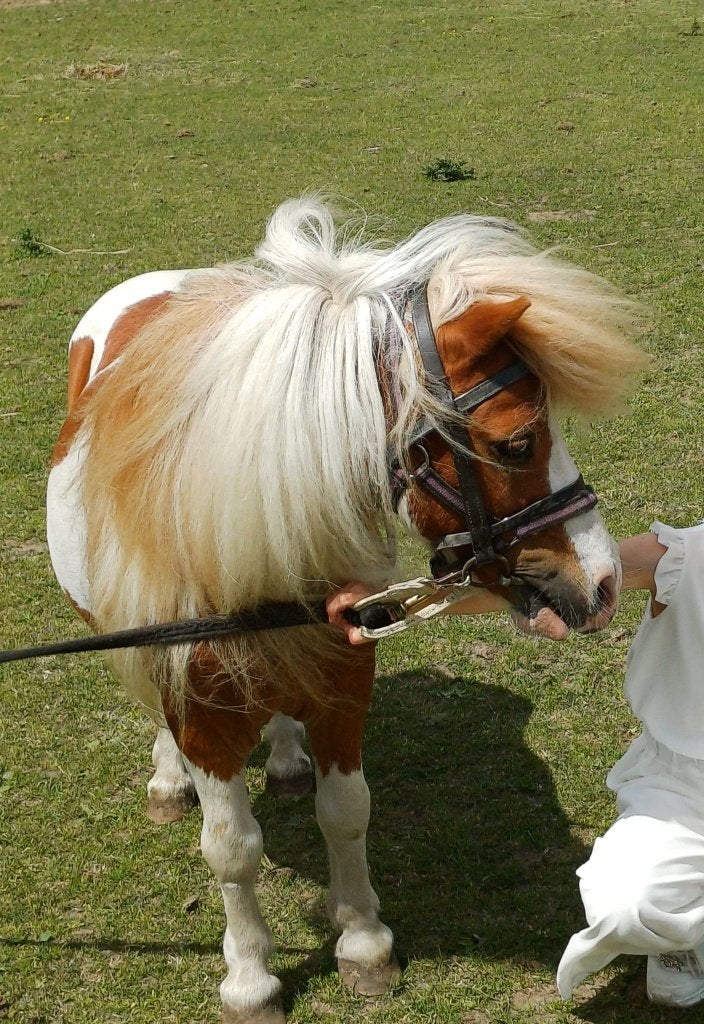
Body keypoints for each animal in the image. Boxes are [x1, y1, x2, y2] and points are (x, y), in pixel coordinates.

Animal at [46, 197, 644, 1023]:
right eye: (517, 443)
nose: (605, 579)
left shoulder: (342, 679)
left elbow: (346, 810)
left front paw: (362, 941)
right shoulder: (201, 714)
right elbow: (232, 848)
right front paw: (250, 976)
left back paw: (286, 759)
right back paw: (171, 780)